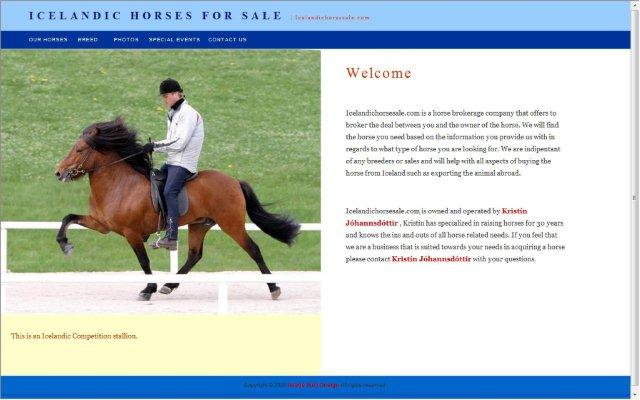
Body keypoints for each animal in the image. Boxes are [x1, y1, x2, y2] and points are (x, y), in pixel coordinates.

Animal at [54, 117, 300, 301]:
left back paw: (274, 288)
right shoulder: (101, 224)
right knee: (194, 255)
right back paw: (169, 285)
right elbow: (68, 218)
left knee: (253, 249)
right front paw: (65, 245)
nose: (58, 172)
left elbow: (144, 261)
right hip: (199, 225)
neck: (119, 184)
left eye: (79, 149)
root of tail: (234, 181)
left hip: (231, 224)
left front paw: (148, 290)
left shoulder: (131, 233)